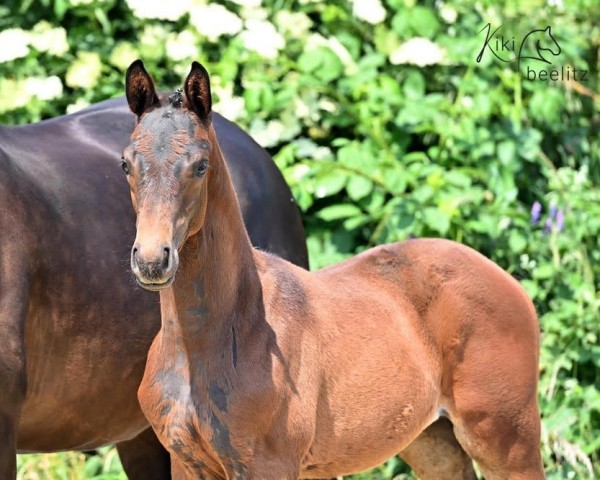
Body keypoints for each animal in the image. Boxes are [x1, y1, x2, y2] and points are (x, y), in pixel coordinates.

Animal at [122, 61, 544, 480]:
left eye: (201, 165)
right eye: (126, 162)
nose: (152, 259)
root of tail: (508, 281)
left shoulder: (268, 466)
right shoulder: (185, 462)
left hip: (506, 439)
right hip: (433, 442)